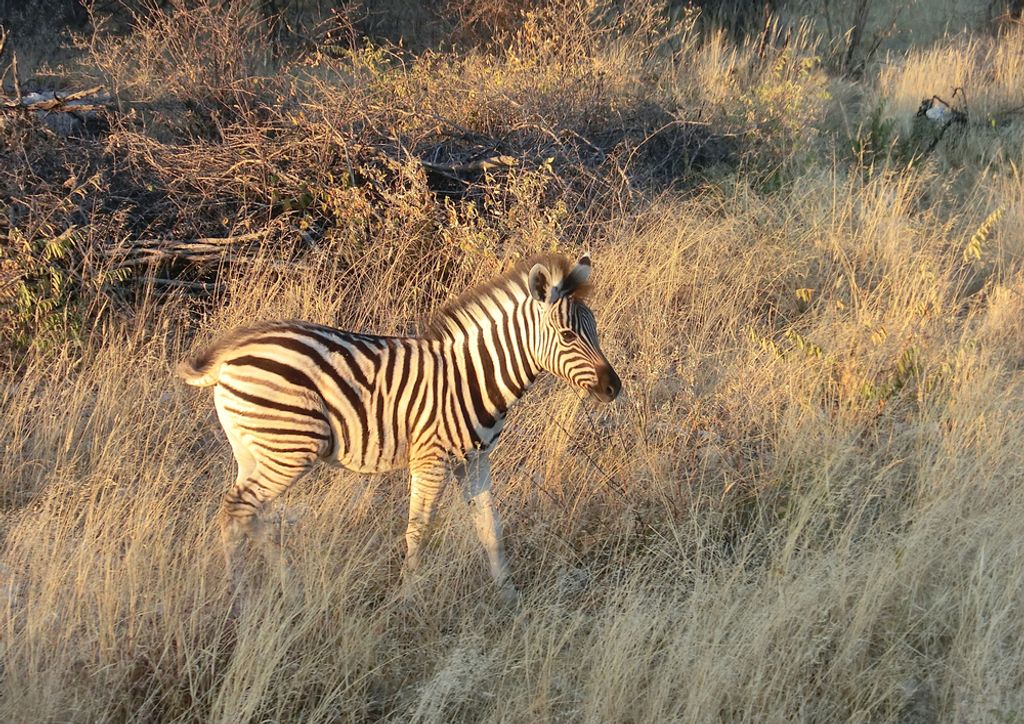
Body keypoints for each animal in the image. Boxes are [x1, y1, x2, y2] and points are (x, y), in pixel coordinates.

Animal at [177, 252, 621, 599]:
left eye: (595, 329)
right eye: (567, 335)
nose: (614, 388)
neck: (473, 376)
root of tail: (230, 355)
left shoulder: (476, 460)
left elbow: (489, 526)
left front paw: (508, 595)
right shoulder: (432, 459)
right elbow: (418, 530)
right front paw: (408, 597)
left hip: (255, 451)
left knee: (250, 514)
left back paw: (286, 589)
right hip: (290, 447)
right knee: (237, 509)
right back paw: (240, 598)